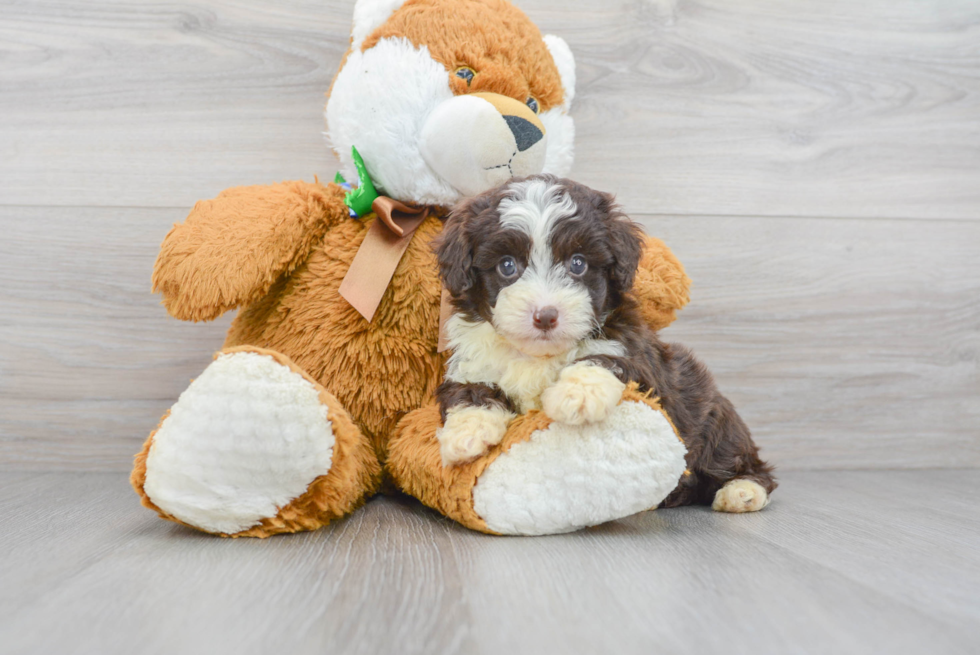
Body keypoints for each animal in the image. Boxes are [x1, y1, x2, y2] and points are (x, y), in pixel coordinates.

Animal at [432, 177, 776, 516]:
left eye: (578, 263)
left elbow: (602, 360)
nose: (545, 316)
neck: (538, 355)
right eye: (507, 266)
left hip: (715, 417)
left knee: (741, 460)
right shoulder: (471, 363)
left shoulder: (639, 360)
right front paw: (465, 434)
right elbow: (470, 392)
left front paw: (576, 395)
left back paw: (742, 491)